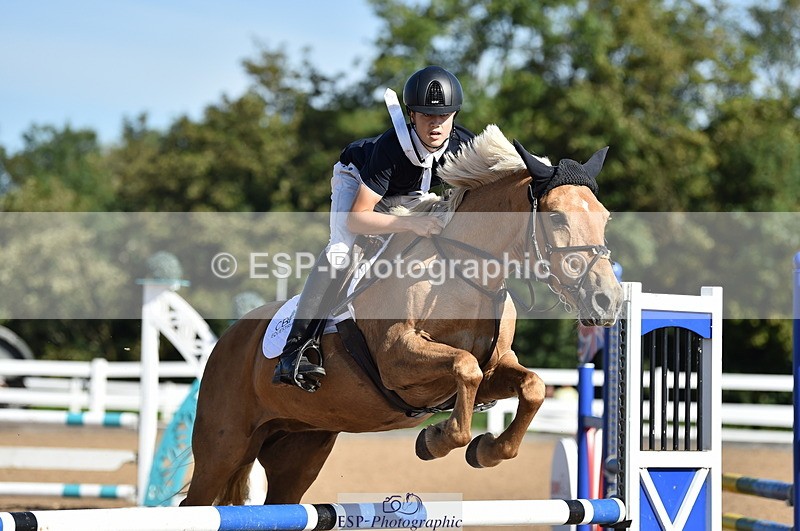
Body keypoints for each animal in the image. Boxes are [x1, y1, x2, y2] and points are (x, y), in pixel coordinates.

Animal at [182, 124, 622, 506]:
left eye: (605, 217)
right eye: (556, 216)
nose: (608, 301)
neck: (464, 272)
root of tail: (227, 339)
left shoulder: (497, 367)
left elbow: (532, 386)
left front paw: (486, 450)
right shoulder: (397, 358)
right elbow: (465, 367)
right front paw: (436, 439)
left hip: (300, 447)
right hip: (223, 447)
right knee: (196, 499)